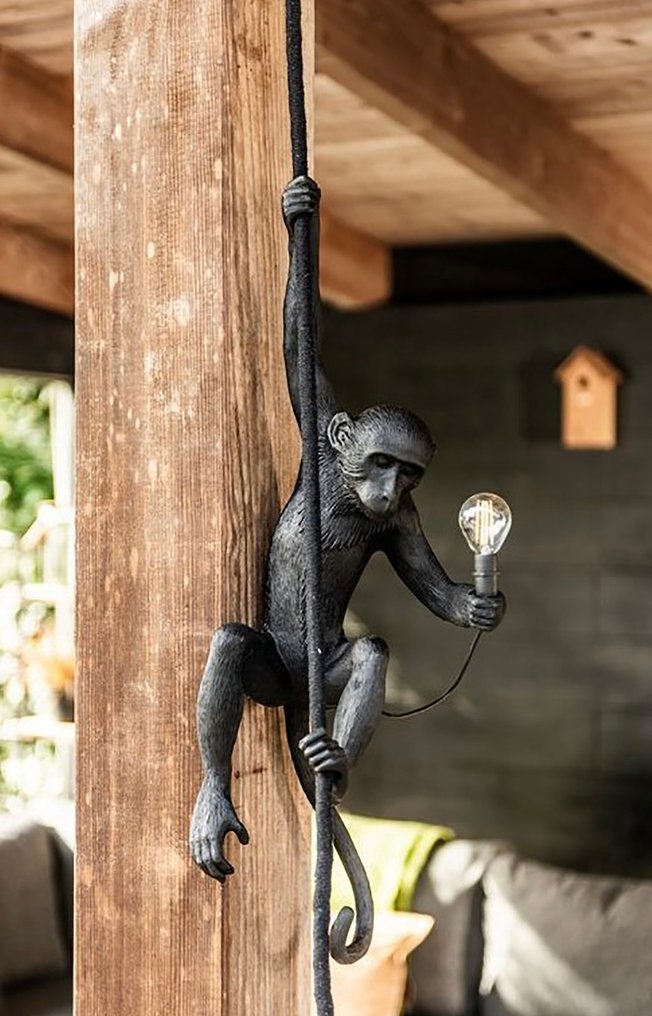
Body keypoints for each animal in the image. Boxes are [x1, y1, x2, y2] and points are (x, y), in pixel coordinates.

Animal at [189, 176, 505, 951]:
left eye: (410, 472)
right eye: (381, 459)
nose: (389, 486)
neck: (350, 492)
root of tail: (298, 696)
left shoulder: (404, 520)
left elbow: (424, 581)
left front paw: (478, 606)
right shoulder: (316, 432)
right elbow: (297, 343)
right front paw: (299, 211)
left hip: (316, 676)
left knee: (367, 654)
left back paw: (336, 761)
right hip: (275, 675)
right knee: (233, 643)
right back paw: (215, 800)